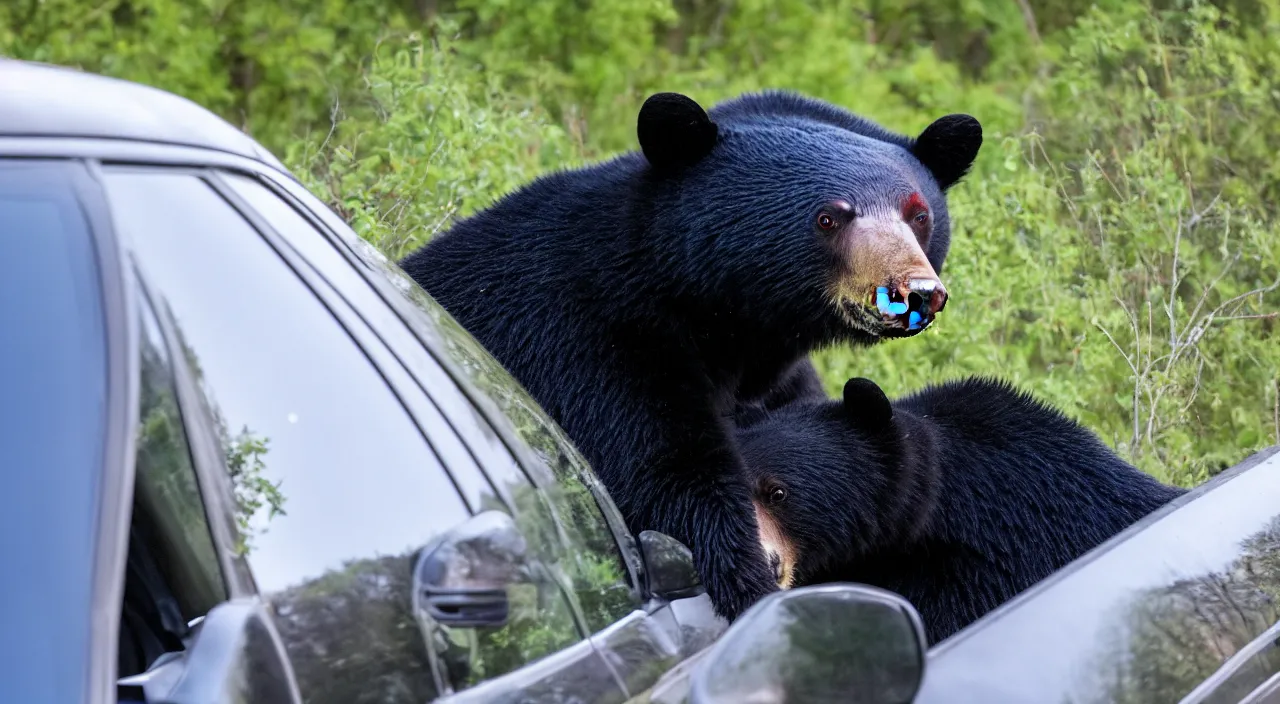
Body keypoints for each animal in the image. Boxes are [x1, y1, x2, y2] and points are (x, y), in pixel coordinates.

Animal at [396, 90, 977, 622]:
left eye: (918, 215)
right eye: (829, 218)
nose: (916, 292)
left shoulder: (776, 378)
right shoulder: (588, 344)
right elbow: (664, 470)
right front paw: (749, 582)